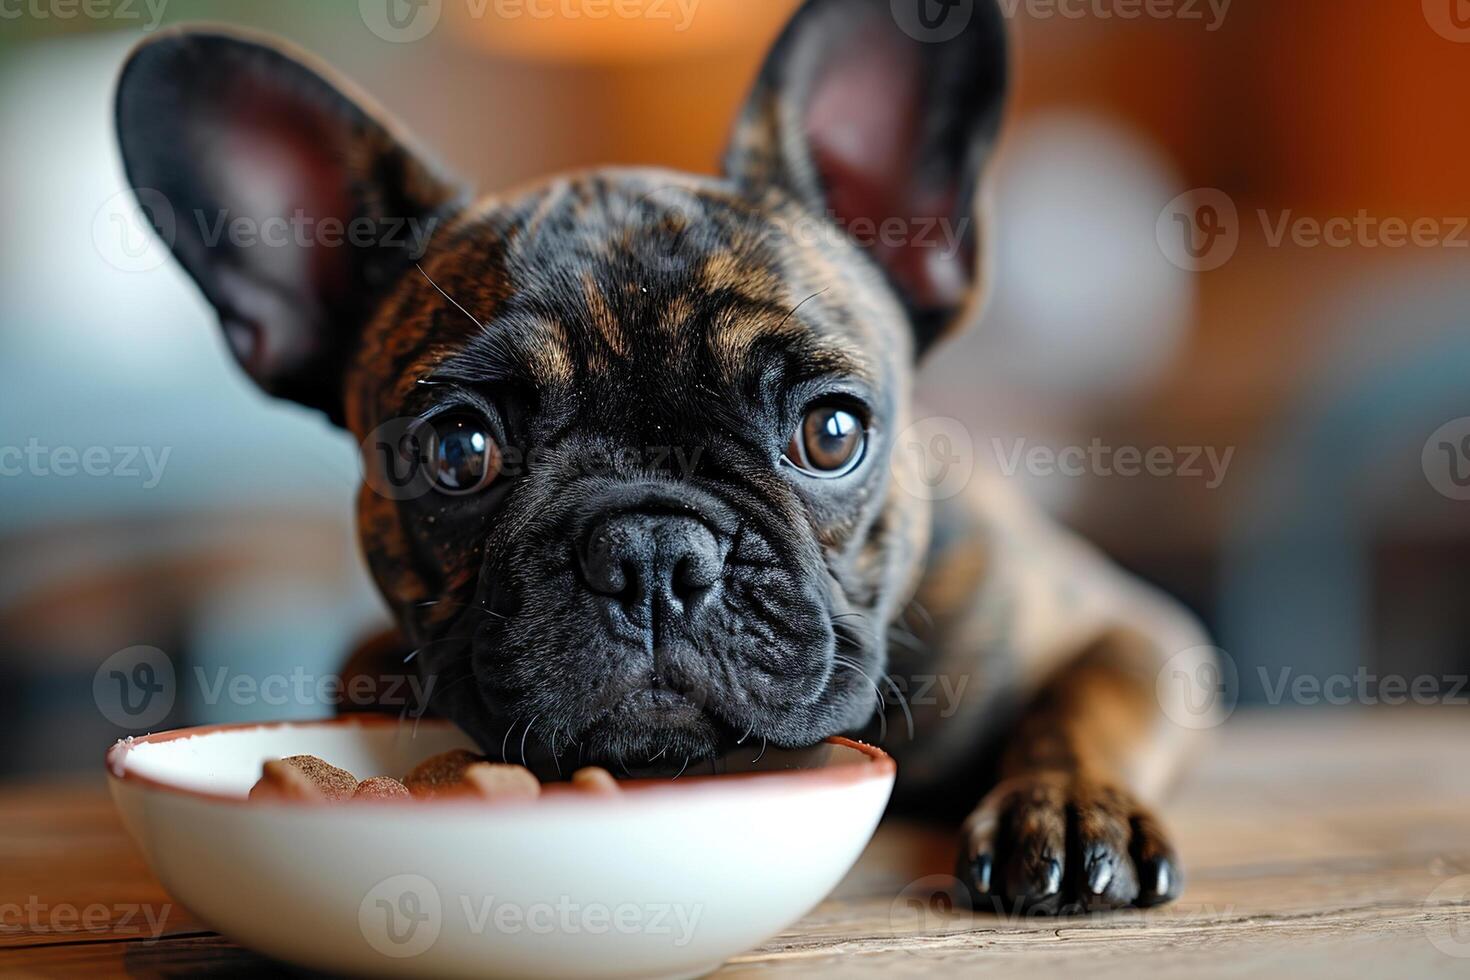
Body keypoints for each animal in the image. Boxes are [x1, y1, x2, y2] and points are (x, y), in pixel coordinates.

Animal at [111, 0, 1217, 916]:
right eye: (459, 450)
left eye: (832, 433)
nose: (650, 553)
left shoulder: (1129, 628)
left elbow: (1086, 702)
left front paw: (1068, 807)